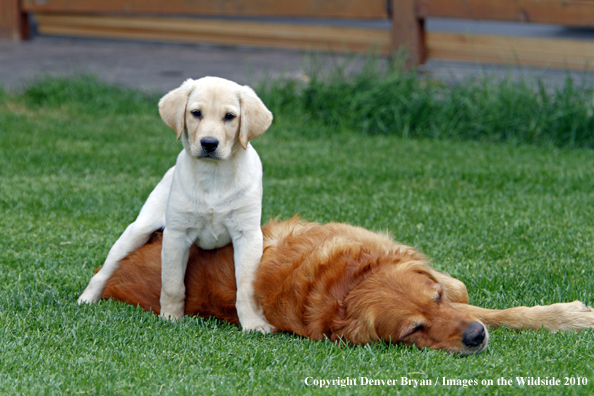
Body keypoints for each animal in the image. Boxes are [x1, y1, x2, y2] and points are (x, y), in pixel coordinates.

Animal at [78, 76, 272, 332]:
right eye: (196, 113)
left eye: (230, 116)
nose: (209, 143)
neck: (214, 176)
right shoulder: (176, 234)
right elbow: (171, 284)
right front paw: (170, 318)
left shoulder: (247, 235)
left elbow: (247, 288)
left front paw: (254, 324)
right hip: (137, 231)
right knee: (104, 271)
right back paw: (86, 299)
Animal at [99, 217, 592, 356]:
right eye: (414, 330)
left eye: (435, 299)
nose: (474, 337)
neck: (344, 283)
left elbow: (490, 306)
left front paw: (567, 316)